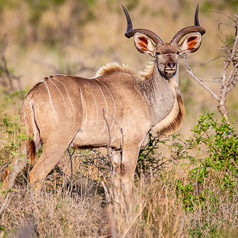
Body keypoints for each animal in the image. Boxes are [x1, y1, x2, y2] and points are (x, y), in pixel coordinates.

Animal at [2, 5, 205, 196]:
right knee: (36, 174)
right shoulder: (131, 145)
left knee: (10, 171)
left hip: (30, 140)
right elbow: (127, 183)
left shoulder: (115, 150)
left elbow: (117, 185)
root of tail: (33, 95)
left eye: (177, 52)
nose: (170, 65)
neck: (146, 95)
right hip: (56, 143)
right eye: (158, 53)